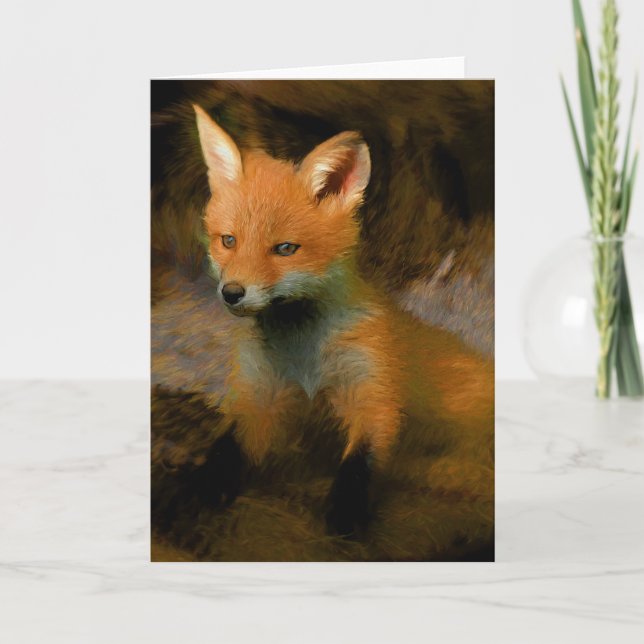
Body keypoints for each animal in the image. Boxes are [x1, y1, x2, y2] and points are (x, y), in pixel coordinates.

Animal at [192, 104, 494, 536]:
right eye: (228, 241)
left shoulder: (373, 391)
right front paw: (201, 487)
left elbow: (359, 462)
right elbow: (227, 448)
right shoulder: (259, 395)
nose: (231, 293)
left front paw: (345, 515)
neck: (304, 358)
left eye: (285, 249)